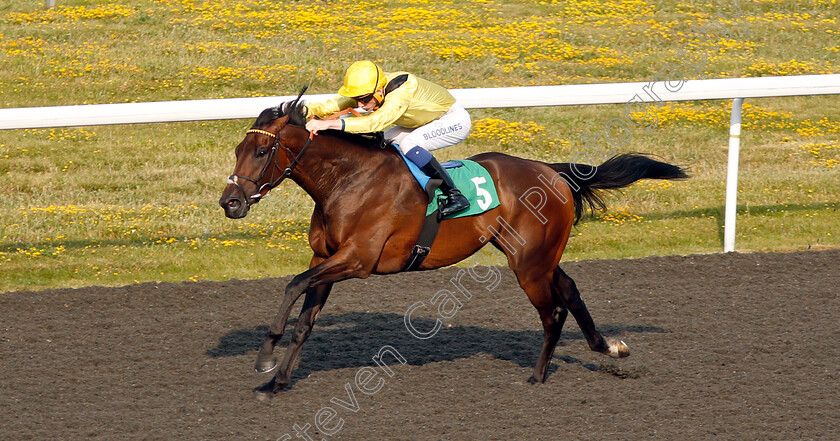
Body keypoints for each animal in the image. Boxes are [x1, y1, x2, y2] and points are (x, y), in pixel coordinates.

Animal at [220, 99, 684, 398]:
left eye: (262, 150)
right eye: (239, 149)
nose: (230, 202)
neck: (348, 179)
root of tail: (552, 172)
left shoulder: (356, 260)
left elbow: (291, 286)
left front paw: (265, 358)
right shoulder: (326, 258)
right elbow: (305, 318)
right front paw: (277, 381)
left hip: (528, 262)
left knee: (552, 311)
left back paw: (536, 377)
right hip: (540, 256)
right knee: (569, 290)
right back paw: (608, 347)